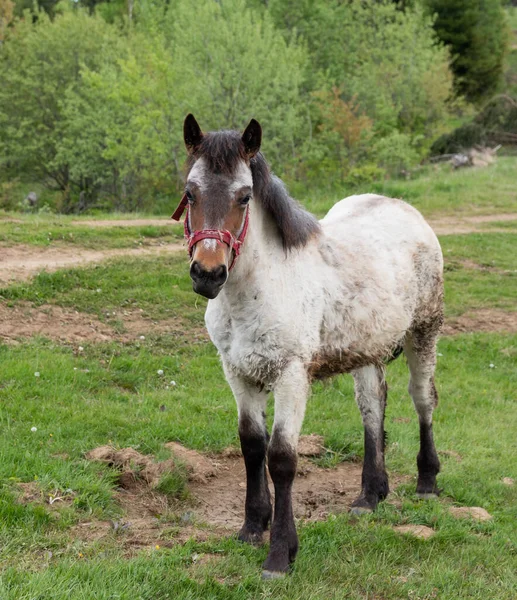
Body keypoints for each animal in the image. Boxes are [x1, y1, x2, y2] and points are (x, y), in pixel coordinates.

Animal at [172, 115, 444, 580]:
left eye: (244, 196)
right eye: (190, 192)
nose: (207, 274)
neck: (258, 289)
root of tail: (406, 210)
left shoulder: (291, 376)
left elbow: (282, 457)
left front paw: (280, 554)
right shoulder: (237, 372)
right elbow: (251, 446)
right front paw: (251, 527)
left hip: (425, 331)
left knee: (422, 398)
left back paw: (427, 482)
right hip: (367, 349)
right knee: (372, 405)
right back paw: (370, 495)